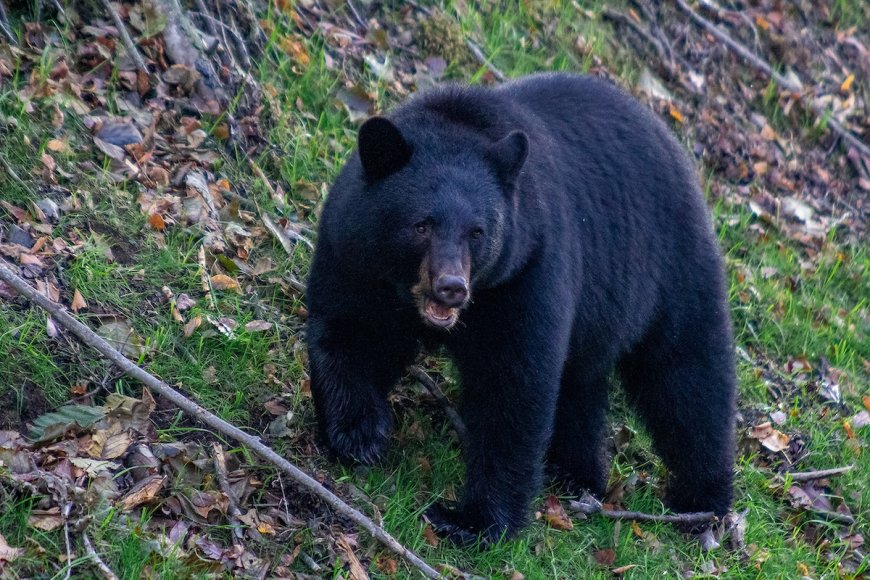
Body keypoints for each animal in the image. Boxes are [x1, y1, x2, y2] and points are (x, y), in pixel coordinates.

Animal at [305, 72, 736, 544]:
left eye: (477, 232)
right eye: (421, 225)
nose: (452, 288)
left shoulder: (526, 272)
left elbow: (513, 386)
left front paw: (472, 521)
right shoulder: (356, 257)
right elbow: (351, 331)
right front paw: (358, 434)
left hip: (672, 272)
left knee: (687, 378)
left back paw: (701, 502)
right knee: (580, 385)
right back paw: (575, 474)